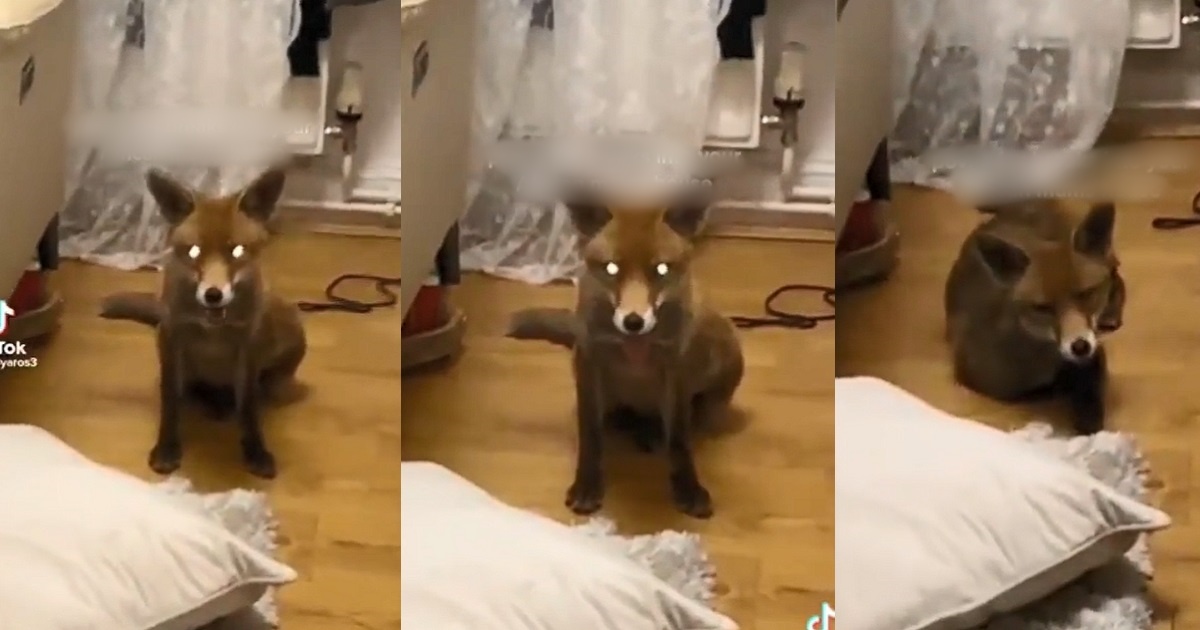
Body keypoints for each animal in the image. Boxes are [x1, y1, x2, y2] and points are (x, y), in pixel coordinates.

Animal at [98, 168, 306, 479]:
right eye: (194, 251)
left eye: (237, 252)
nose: (213, 295)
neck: (213, 332)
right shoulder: (171, 340)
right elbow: (170, 402)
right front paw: (166, 448)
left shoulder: (249, 347)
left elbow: (248, 407)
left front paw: (255, 450)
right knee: (197, 389)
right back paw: (211, 401)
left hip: (292, 325)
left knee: (260, 388)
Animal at [506, 195, 744, 519]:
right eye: (611, 268)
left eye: (661, 270)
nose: (633, 322)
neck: (636, 350)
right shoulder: (589, 363)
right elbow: (590, 435)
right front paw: (587, 485)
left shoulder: (677, 370)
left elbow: (679, 440)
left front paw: (687, 487)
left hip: (727, 351)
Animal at [945, 198, 1125, 434]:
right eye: (1042, 308)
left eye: (1086, 294)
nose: (1080, 346)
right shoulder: (979, 378)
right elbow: (1032, 393)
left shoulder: (1094, 353)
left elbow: (1089, 393)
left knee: (1114, 272)